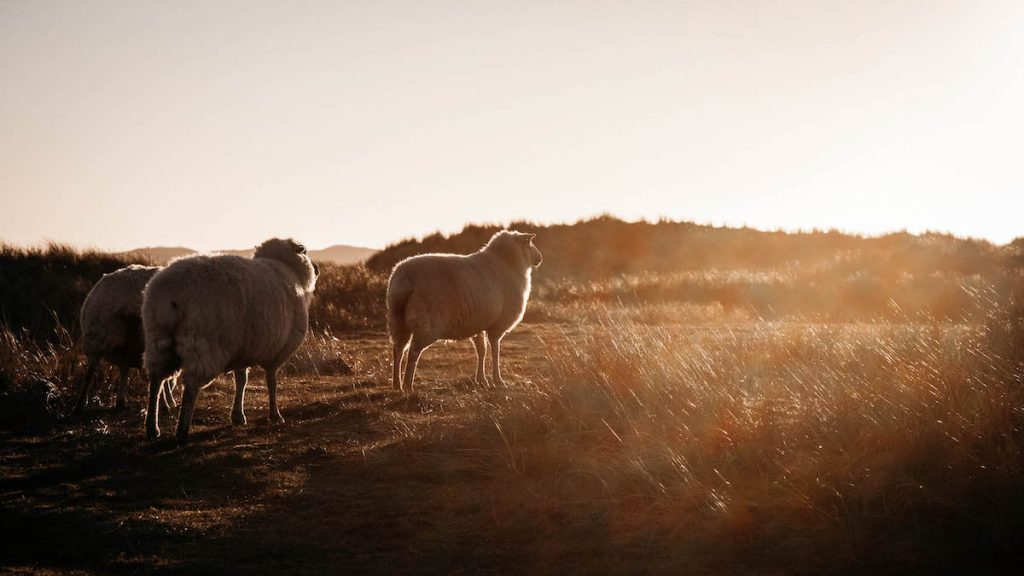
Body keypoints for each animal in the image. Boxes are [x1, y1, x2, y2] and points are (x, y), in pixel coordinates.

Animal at [73, 264, 176, 412]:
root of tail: (129, 302)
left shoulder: (124, 350)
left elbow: (123, 368)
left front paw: (121, 400)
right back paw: (164, 406)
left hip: (96, 336)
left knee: (90, 372)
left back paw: (80, 404)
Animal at [140, 235, 315, 440]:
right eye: (305, 251)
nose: (317, 269)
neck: (288, 269)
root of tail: (171, 295)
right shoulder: (276, 353)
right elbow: (271, 381)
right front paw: (275, 415)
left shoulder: (243, 350)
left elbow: (241, 380)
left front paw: (238, 416)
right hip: (204, 345)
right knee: (190, 386)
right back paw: (182, 430)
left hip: (157, 340)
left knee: (156, 380)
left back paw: (152, 427)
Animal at [385, 228, 544, 389]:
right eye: (529, 243)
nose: (540, 258)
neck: (508, 263)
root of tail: (404, 277)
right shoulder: (497, 325)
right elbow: (495, 351)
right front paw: (498, 380)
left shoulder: (479, 323)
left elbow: (481, 351)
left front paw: (482, 379)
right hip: (426, 324)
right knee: (413, 352)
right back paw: (408, 386)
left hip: (398, 320)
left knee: (398, 350)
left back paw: (397, 384)